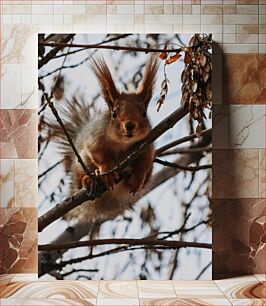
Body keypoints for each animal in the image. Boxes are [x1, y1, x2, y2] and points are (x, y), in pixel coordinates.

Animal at [49, 55, 159, 222]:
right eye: (114, 113)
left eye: (144, 113)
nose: (130, 125)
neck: (122, 143)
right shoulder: (95, 139)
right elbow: (98, 154)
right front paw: (107, 170)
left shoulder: (147, 145)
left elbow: (144, 162)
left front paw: (138, 177)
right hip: (81, 163)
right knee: (80, 178)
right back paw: (88, 180)